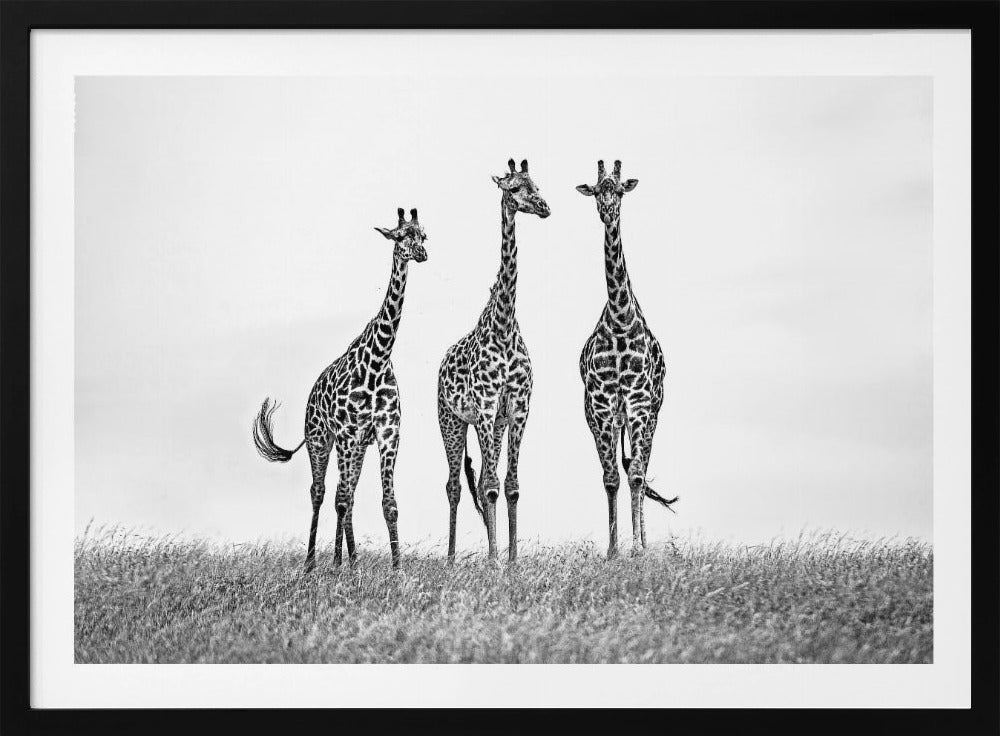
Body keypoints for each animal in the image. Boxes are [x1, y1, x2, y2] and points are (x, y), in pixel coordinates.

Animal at [252, 207, 428, 572]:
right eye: (401, 236)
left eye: (423, 235)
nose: (421, 254)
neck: (378, 358)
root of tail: (311, 395)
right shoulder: (347, 433)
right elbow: (341, 498)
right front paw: (342, 566)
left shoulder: (387, 433)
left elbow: (388, 503)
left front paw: (397, 569)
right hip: (321, 440)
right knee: (321, 492)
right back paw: (313, 563)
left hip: (356, 446)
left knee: (344, 493)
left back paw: (347, 559)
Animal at [437, 158, 550, 563]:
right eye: (514, 188)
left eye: (536, 184)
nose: (545, 207)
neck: (503, 327)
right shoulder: (485, 407)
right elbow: (488, 485)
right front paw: (493, 560)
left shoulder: (517, 408)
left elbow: (510, 484)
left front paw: (512, 558)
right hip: (451, 421)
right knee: (455, 484)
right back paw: (452, 557)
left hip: (493, 426)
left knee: (487, 476)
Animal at [576, 160, 677, 559]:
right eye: (595, 189)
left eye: (618, 190)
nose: (608, 211)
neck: (620, 320)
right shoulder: (603, 407)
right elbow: (611, 479)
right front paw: (612, 550)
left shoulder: (639, 403)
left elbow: (635, 475)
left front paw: (636, 549)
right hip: (609, 419)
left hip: (652, 415)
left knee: (641, 469)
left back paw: (645, 543)